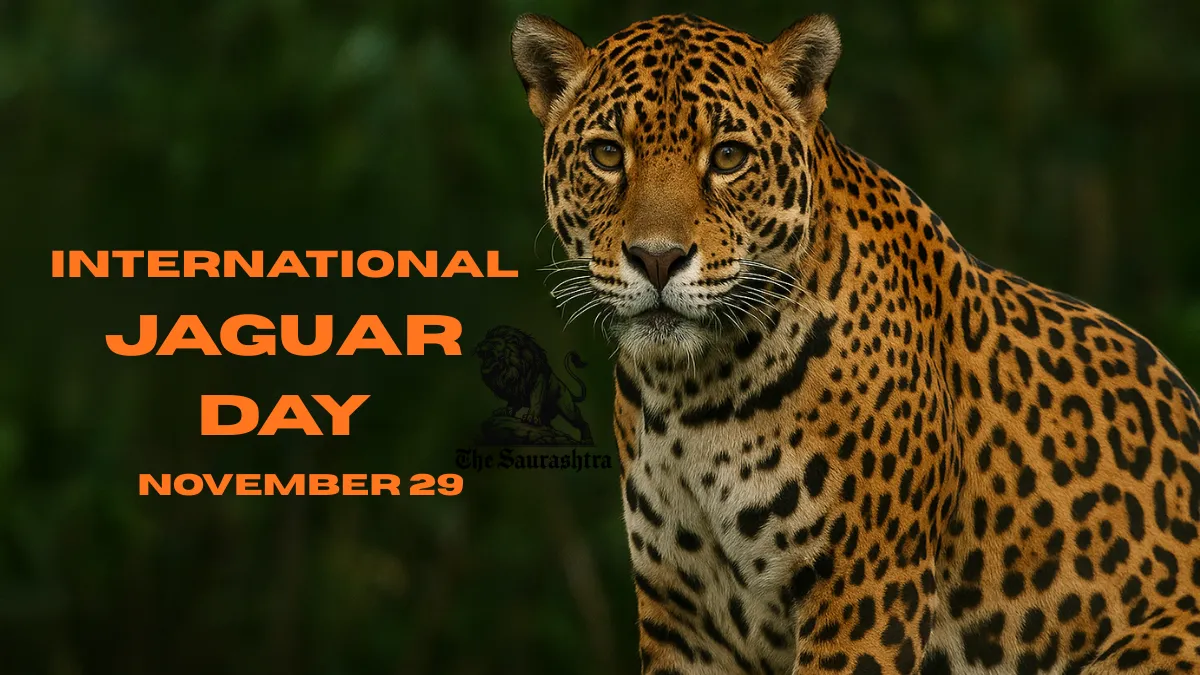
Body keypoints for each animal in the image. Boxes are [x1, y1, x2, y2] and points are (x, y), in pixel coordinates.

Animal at [510, 12, 1200, 675]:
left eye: (729, 158)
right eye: (606, 154)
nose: (657, 258)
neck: (694, 391)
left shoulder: (866, 590)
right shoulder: (683, 616)